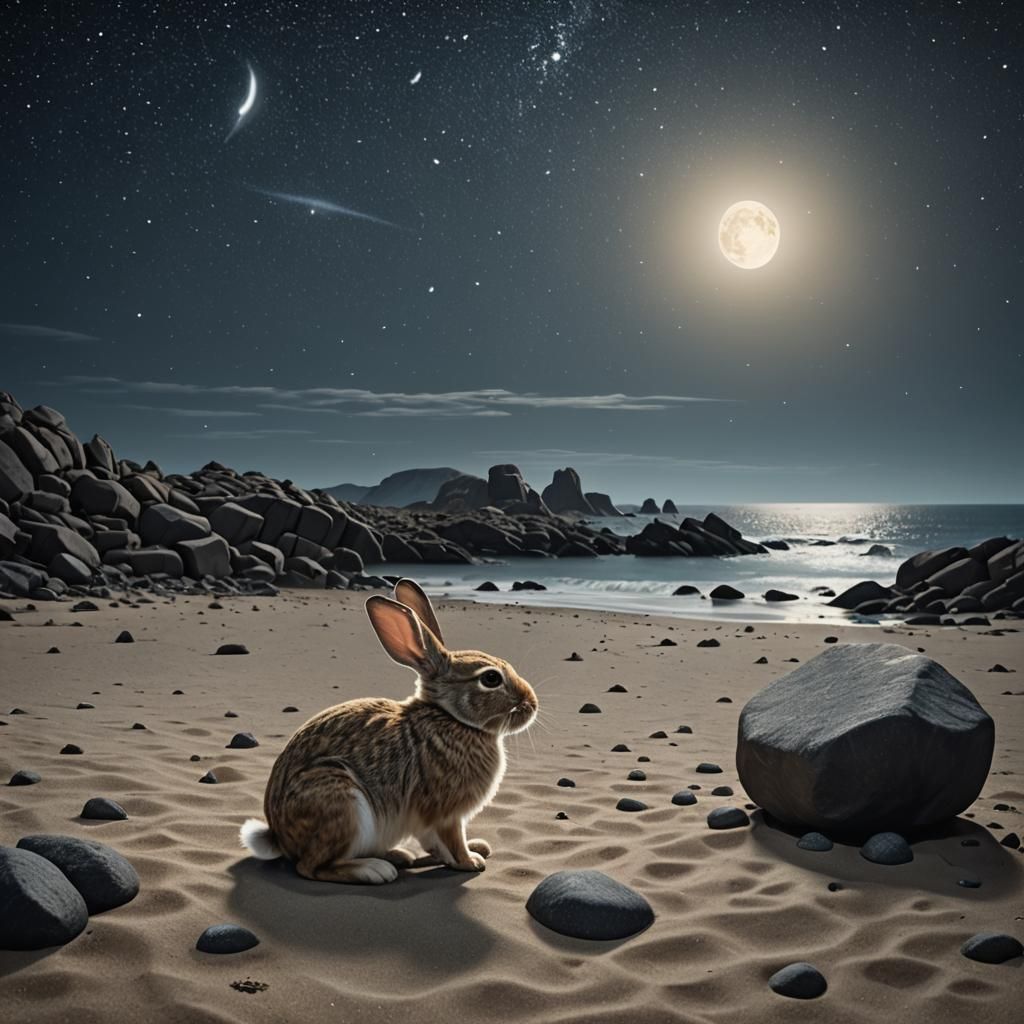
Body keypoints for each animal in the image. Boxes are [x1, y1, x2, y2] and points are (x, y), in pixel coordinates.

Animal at [239, 578, 539, 884]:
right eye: (490, 679)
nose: (531, 704)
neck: (451, 717)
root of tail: (279, 837)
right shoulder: (445, 813)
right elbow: (451, 839)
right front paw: (470, 861)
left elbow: (436, 842)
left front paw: (471, 851)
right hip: (341, 802)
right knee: (310, 867)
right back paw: (374, 870)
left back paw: (398, 855)